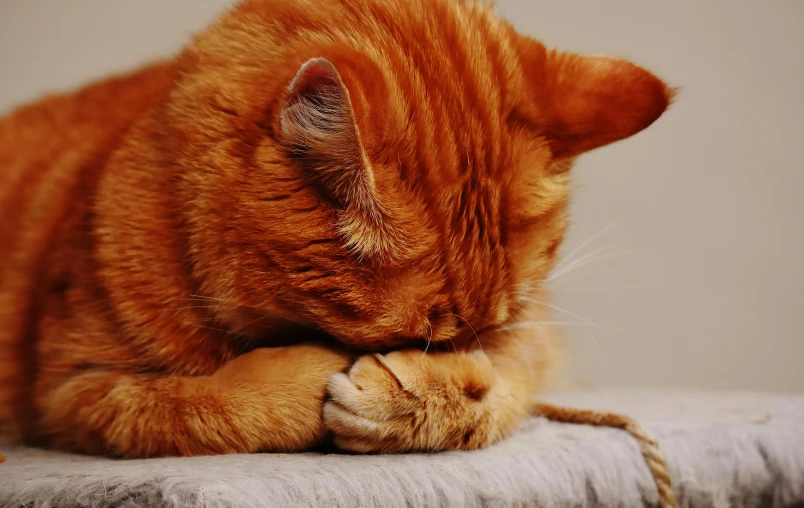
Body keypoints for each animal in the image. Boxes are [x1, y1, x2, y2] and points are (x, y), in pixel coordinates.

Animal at [0, 0, 672, 458]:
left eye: (479, 334)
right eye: (419, 336)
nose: (443, 358)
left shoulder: (533, 340)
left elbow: (502, 389)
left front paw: (421, 397)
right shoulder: (74, 391)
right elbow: (197, 404)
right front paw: (313, 381)